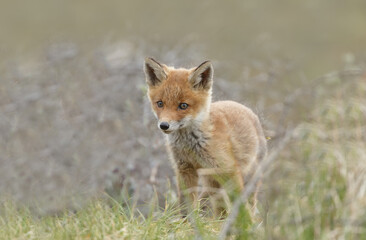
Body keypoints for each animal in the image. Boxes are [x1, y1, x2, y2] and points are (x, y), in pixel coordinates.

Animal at [144, 57, 268, 216]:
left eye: (183, 106)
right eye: (160, 103)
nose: (164, 125)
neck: (191, 145)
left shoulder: (229, 170)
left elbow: (240, 206)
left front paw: (245, 222)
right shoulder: (184, 169)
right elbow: (186, 206)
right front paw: (187, 221)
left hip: (246, 179)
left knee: (248, 204)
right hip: (213, 181)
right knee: (219, 209)